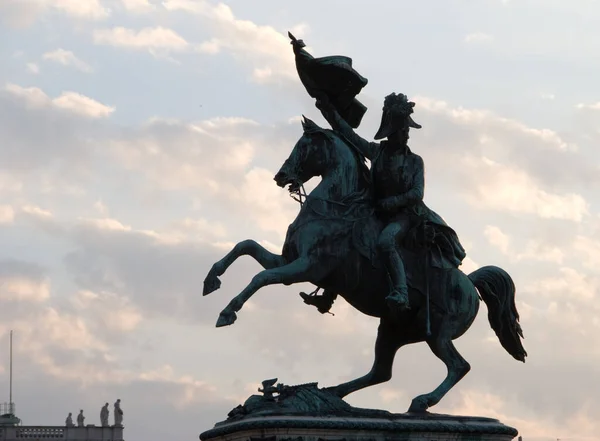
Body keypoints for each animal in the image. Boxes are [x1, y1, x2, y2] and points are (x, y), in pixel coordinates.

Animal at [203, 117, 524, 412]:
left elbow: (261, 277)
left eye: (304, 146)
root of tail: (470, 283)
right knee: (381, 372)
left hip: (439, 331)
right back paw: (334, 392)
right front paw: (211, 280)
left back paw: (421, 401)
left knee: (459, 366)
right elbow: (245, 246)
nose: (280, 176)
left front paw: (227, 312)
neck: (335, 208)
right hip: (392, 330)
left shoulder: (307, 267)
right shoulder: (289, 259)